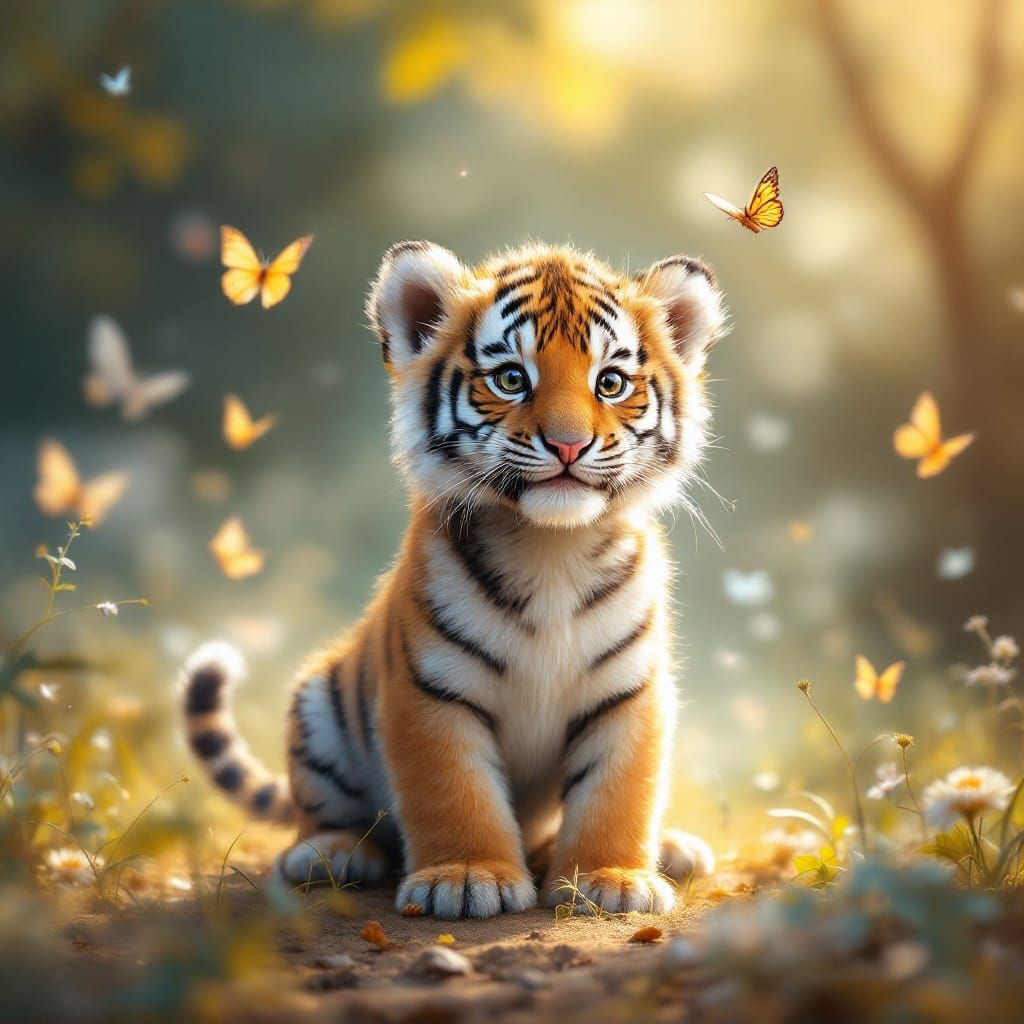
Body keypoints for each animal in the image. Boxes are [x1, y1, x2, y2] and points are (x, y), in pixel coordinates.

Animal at [182, 240, 726, 919]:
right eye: (512, 378)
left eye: (610, 382)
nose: (569, 445)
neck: (551, 546)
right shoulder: (431, 688)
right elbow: (454, 789)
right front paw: (467, 878)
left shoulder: (629, 692)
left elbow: (618, 791)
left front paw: (612, 879)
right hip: (319, 709)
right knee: (327, 814)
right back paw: (332, 853)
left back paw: (673, 849)